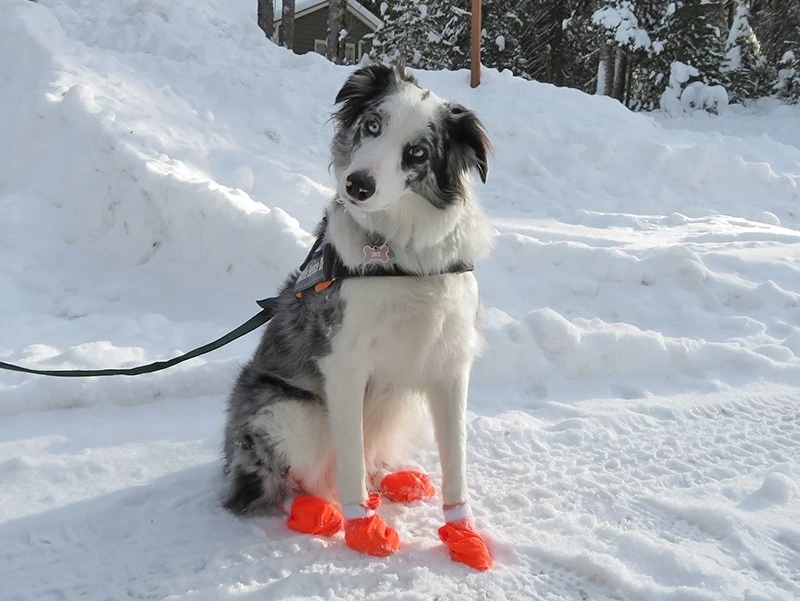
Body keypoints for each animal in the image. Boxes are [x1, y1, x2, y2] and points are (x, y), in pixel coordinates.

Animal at [220, 63, 494, 568]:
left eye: (417, 152)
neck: (402, 260)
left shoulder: (450, 367)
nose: (357, 184)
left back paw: (396, 481)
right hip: (290, 413)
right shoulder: (344, 367)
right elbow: (349, 457)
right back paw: (317, 510)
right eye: (372, 126)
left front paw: (463, 532)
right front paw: (360, 526)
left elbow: (457, 463)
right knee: (286, 481)